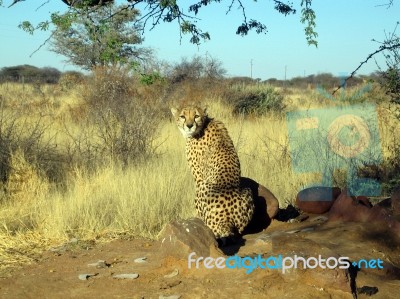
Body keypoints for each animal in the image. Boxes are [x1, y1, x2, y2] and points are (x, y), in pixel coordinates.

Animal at [170, 106, 255, 243]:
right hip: (247, 191)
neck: (203, 125)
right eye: (182, 116)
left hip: (204, 186)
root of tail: (227, 221)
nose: (189, 126)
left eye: (196, 116)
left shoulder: (199, 178)